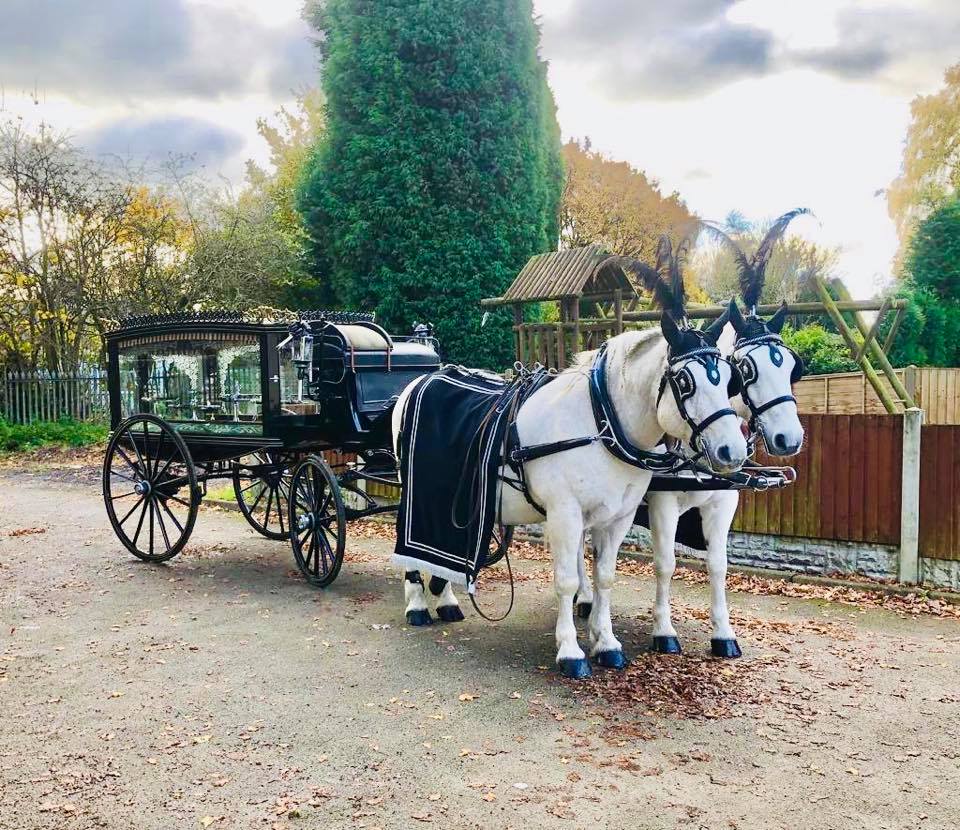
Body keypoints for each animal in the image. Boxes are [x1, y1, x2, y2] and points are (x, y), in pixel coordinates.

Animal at [392, 247, 750, 678]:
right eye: (685, 382)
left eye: (729, 378)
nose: (733, 451)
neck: (599, 422)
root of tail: (422, 379)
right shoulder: (564, 514)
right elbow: (565, 581)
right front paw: (571, 651)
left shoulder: (617, 517)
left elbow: (605, 577)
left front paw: (606, 642)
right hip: (411, 488)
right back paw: (417, 604)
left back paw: (445, 600)